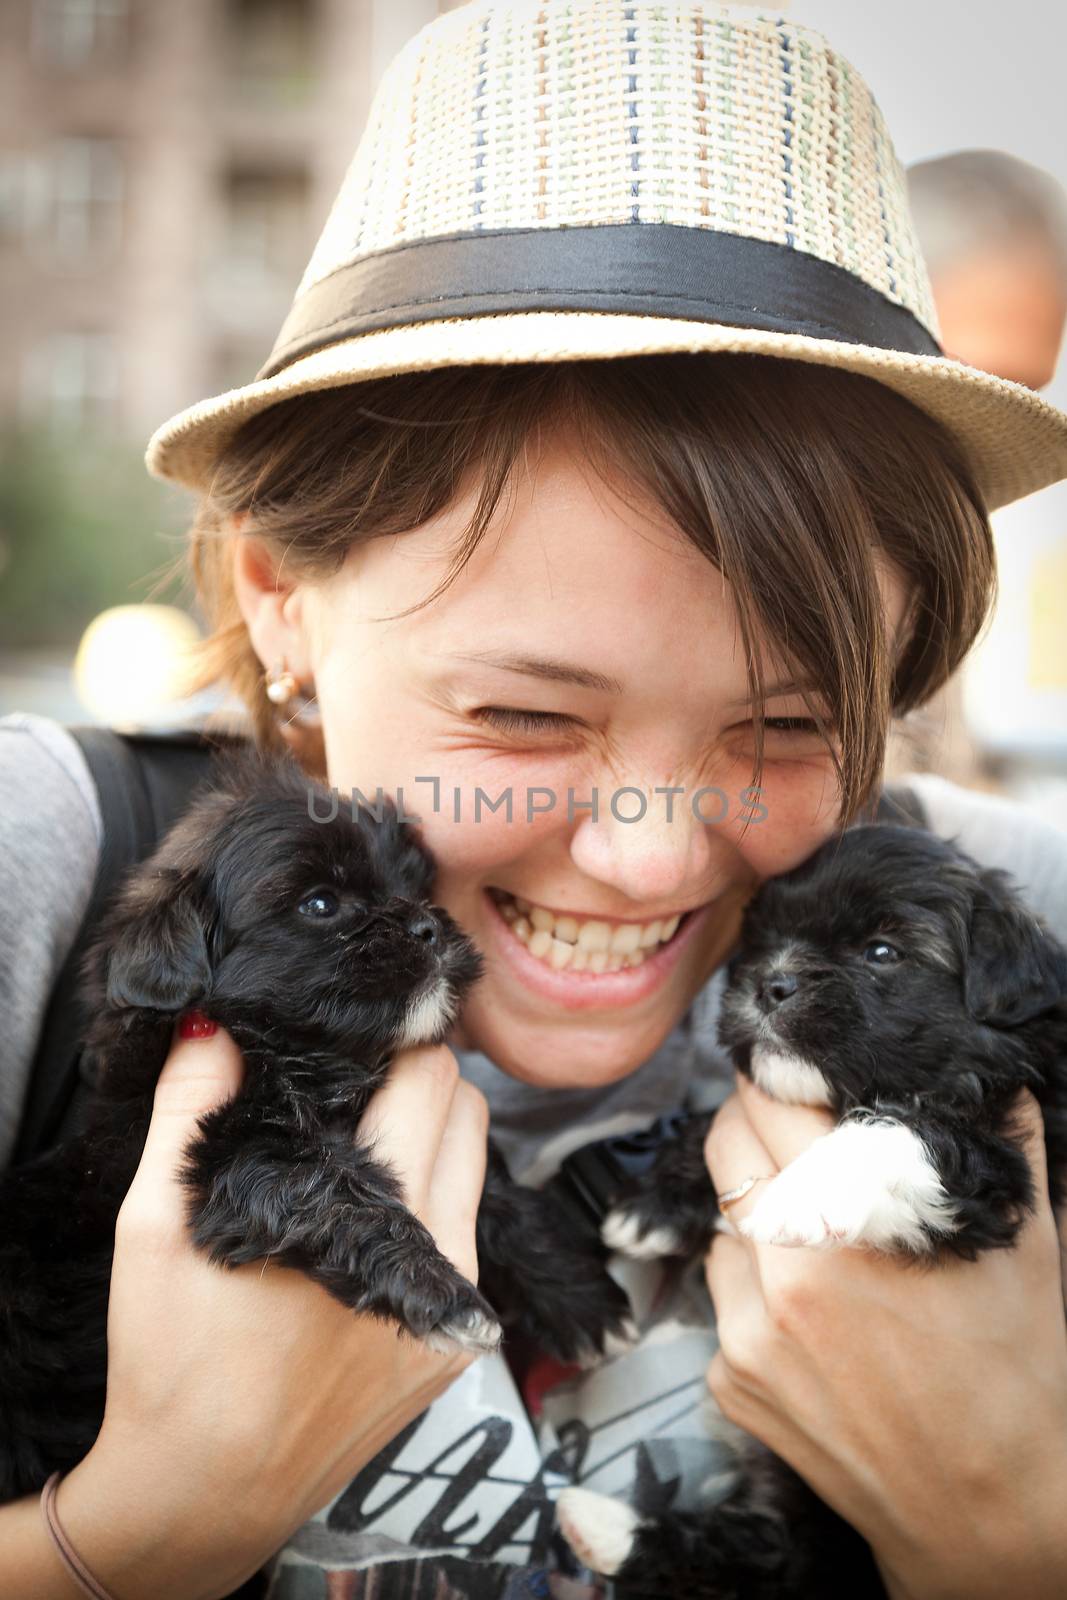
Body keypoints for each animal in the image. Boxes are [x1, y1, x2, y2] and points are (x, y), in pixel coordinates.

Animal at [556, 825, 1067, 1600]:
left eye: (882, 953)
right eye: (761, 938)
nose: (770, 982)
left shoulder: (1002, 1159)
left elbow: (905, 1130)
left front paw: (805, 1189)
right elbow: (713, 1119)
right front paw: (656, 1205)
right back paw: (603, 1527)